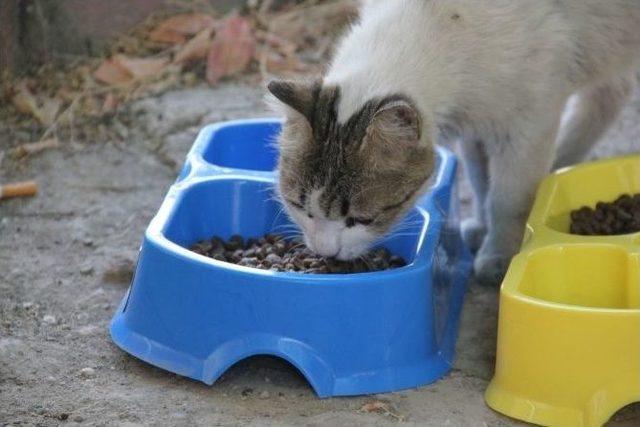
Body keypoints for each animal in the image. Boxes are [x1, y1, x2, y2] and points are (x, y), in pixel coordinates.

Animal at [266, 0, 640, 288]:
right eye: (299, 206)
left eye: (362, 218)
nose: (325, 252)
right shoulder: (477, 127)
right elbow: (481, 181)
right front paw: (483, 225)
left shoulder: (527, 124)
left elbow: (507, 200)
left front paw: (499, 253)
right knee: (613, 94)